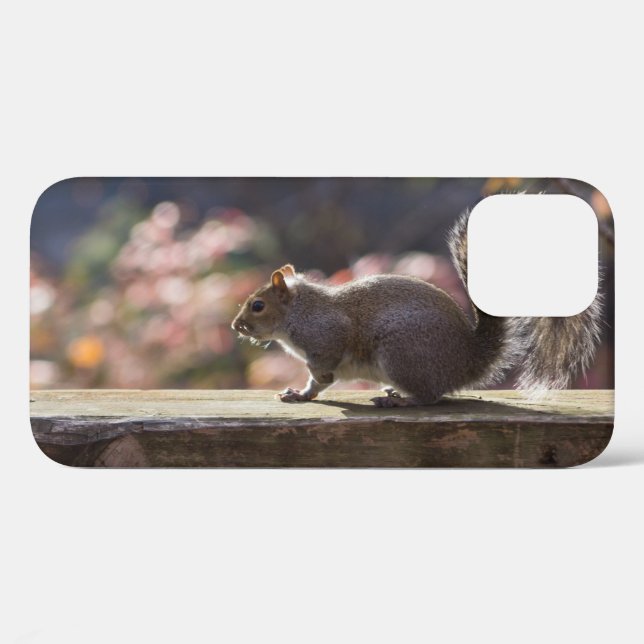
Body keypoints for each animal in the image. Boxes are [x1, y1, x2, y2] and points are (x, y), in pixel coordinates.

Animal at [231, 214, 603, 407]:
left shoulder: (326, 334)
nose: (237, 326)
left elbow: (324, 368)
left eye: (258, 306)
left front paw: (314, 383)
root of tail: (468, 361)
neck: (299, 311)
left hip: (401, 352)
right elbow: (317, 383)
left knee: (430, 397)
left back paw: (399, 400)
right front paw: (301, 393)